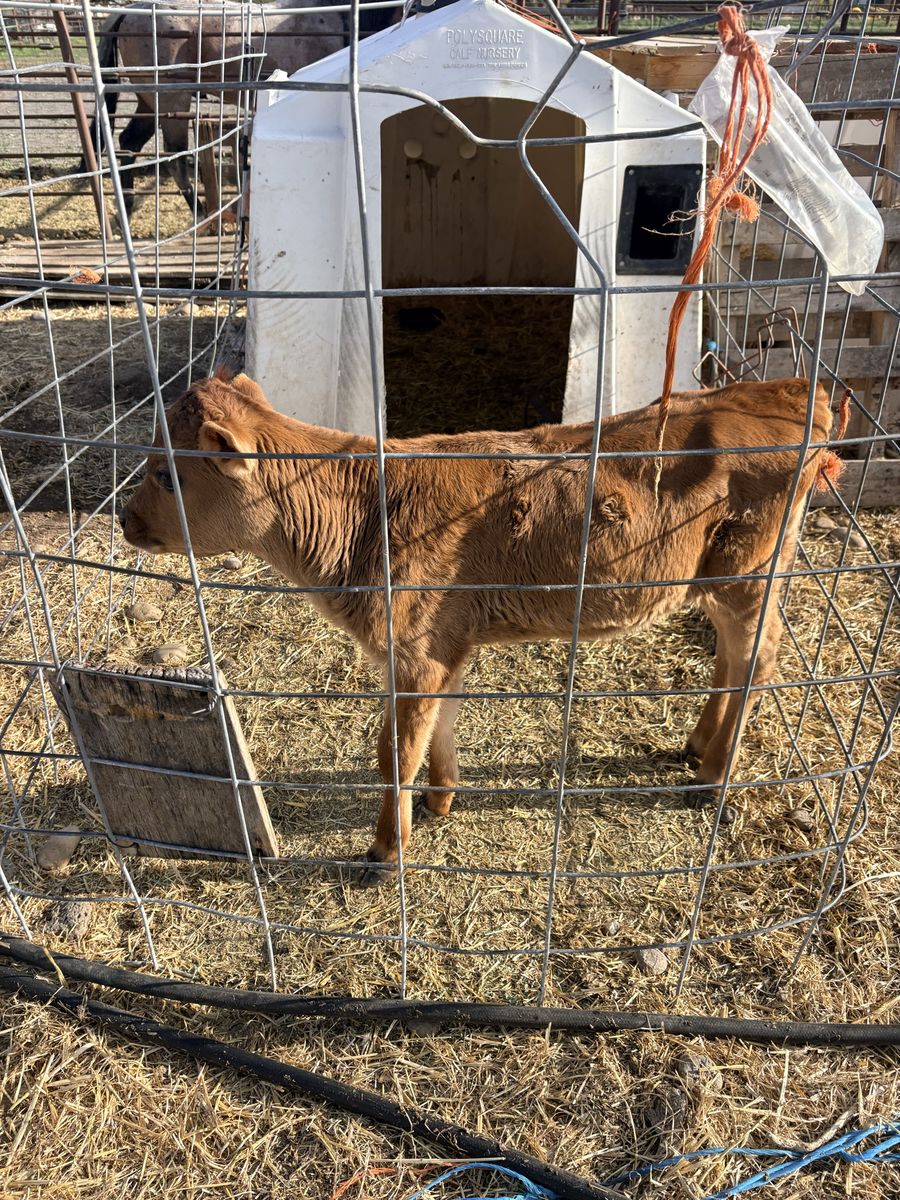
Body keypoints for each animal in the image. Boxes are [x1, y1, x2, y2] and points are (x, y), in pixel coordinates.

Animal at [120, 372, 835, 881]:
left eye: (166, 474)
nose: (125, 520)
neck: (362, 510)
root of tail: (791, 389)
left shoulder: (415, 648)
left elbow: (394, 750)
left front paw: (385, 854)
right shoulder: (442, 644)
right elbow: (440, 723)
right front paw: (439, 801)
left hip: (750, 573)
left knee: (760, 657)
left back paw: (714, 775)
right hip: (717, 580)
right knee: (732, 658)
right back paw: (696, 747)